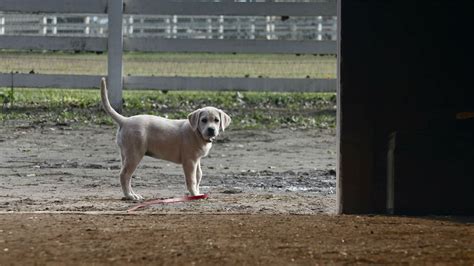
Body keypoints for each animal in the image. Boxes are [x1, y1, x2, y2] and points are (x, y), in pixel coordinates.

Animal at [100, 78, 231, 201]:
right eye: (204, 120)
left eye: (216, 120)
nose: (211, 129)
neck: (196, 133)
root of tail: (125, 120)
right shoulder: (189, 161)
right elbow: (192, 179)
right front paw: (194, 194)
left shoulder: (197, 160)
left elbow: (199, 176)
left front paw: (197, 193)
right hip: (134, 154)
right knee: (124, 175)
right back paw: (130, 196)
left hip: (126, 155)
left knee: (126, 176)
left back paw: (131, 194)